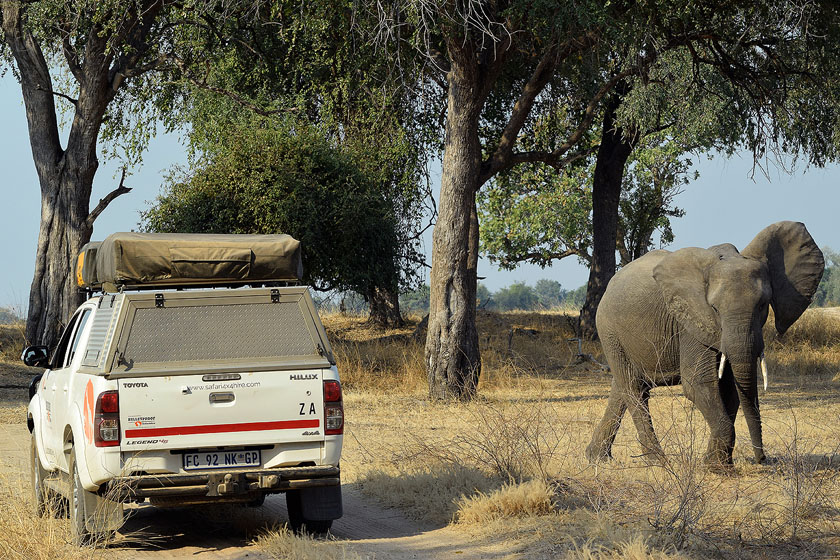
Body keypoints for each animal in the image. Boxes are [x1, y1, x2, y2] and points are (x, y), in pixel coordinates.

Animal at [585, 221, 824, 469]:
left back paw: (597, 458)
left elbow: (729, 388)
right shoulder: (691, 320)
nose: (763, 459)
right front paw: (715, 467)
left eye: (763, 305)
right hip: (609, 331)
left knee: (623, 388)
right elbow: (698, 383)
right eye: (715, 308)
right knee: (633, 389)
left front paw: (718, 463)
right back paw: (658, 462)